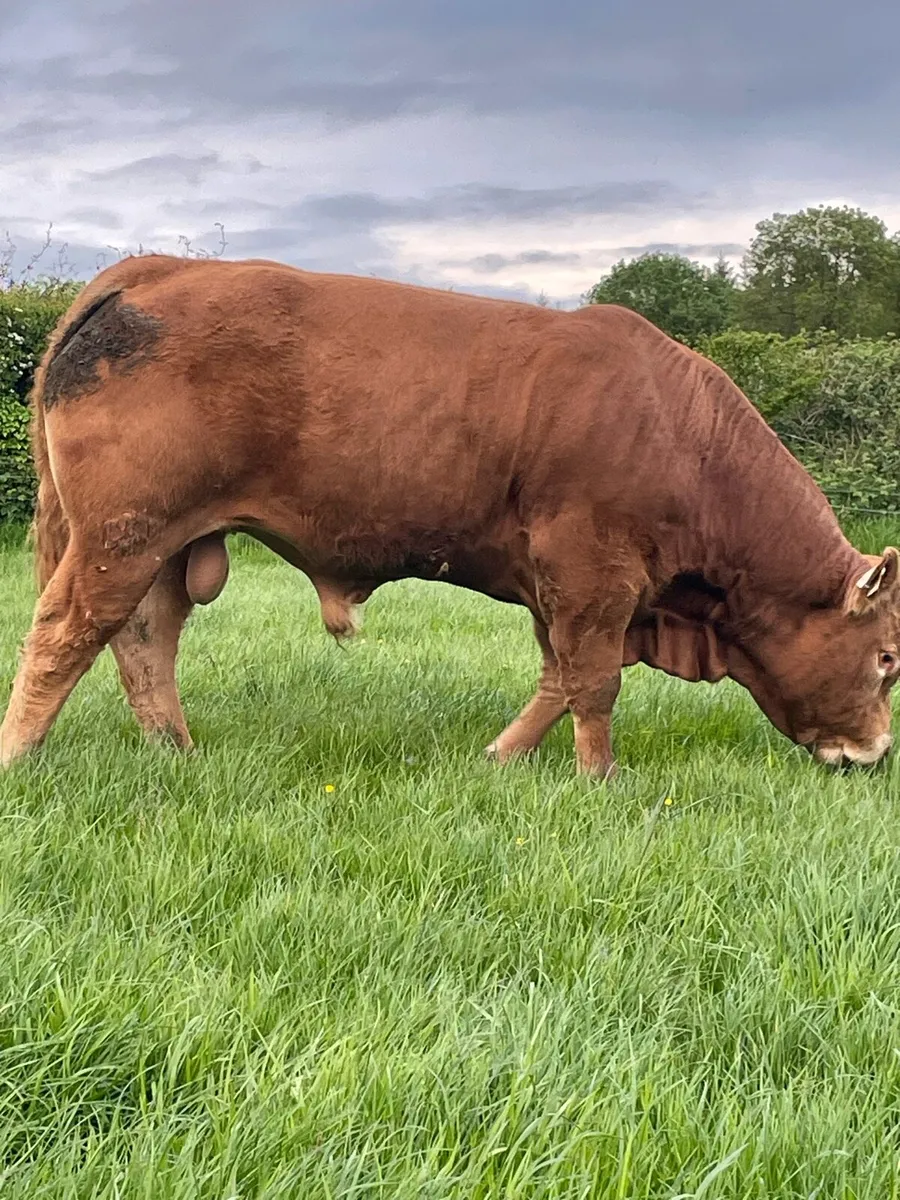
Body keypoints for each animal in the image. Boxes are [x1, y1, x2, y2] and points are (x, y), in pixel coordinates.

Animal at [1, 252, 898, 778]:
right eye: (888, 656)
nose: (875, 751)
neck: (683, 434)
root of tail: (151, 268)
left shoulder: (558, 586)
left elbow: (559, 679)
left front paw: (503, 757)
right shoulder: (593, 574)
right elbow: (595, 682)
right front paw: (600, 779)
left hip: (167, 544)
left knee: (144, 638)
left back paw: (175, 754)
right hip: (124, 533)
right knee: (66, 631)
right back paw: (19, 756)